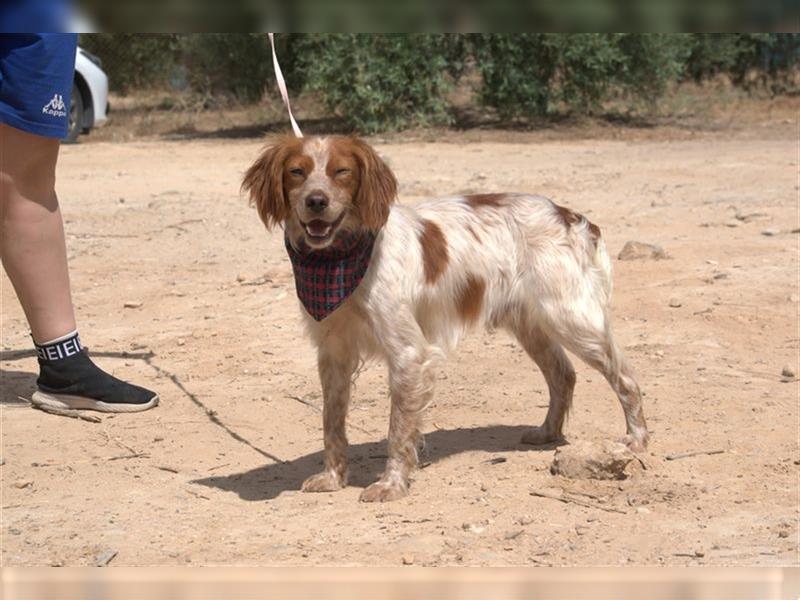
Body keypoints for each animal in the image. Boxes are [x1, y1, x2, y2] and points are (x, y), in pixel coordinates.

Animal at [241, 135, 648, 502]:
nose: (316, 201)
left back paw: (637, 438)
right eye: (297, 172)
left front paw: (392, 485)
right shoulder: (333, 352)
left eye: (341, 172)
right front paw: (333, 477)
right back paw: (547, 432)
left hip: (572, 318)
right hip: (530, 324)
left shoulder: (407, 353)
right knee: (563, 374)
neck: (341, 258)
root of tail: (569, 215)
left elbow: (398, 429)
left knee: (625, 377)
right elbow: (332, 422)